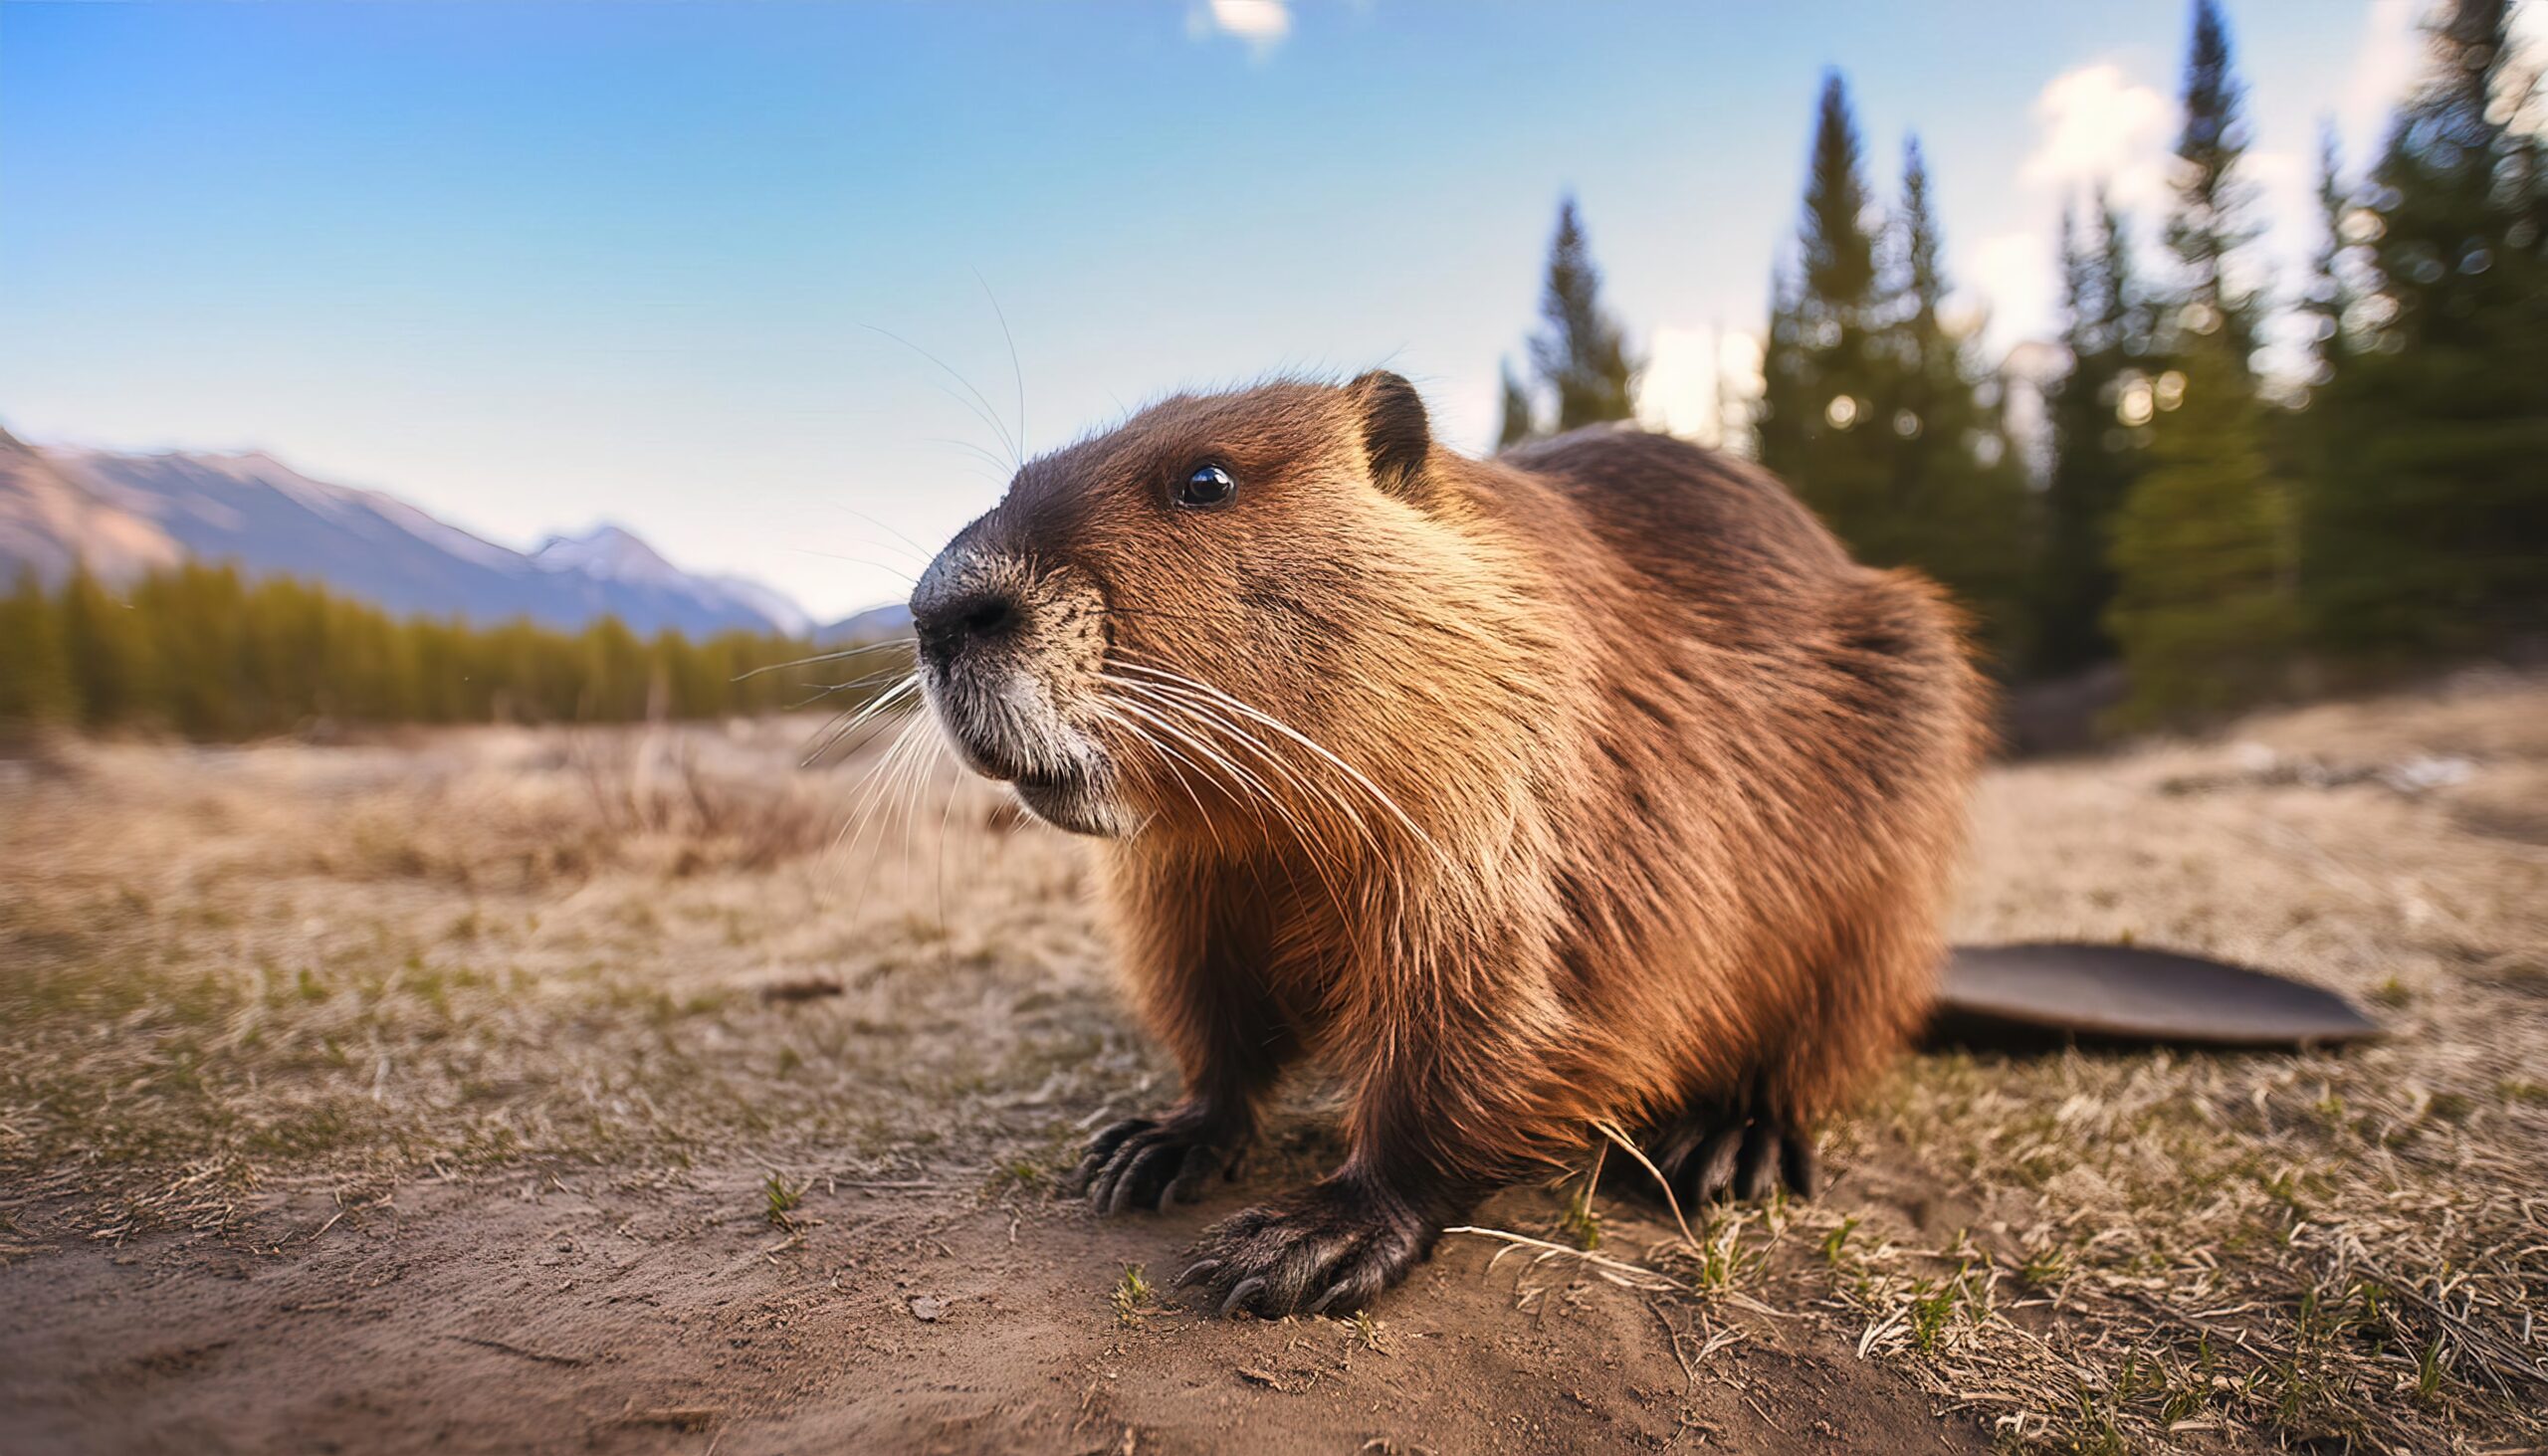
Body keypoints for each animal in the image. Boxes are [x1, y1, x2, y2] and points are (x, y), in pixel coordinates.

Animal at [907, 372, 1998, 1326]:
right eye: (1016, 477)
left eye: (1206, 480)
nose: (940, 608)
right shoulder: (1190, 881)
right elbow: (1213, 1014)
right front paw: (1146, 1145)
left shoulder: (1536, 814)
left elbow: (1501, 1016)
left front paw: (1302, 1241)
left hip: (1885, 859)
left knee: (1826, 1024)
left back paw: (1730, 1143)